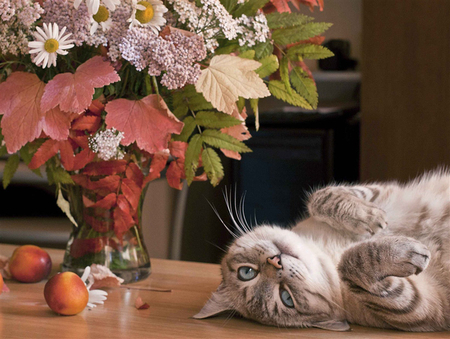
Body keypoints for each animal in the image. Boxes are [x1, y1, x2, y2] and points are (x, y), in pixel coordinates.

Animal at [193, 170, 450, 332]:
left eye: (246, 272)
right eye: (287, 298)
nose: (276, 262)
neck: (327, 249)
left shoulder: (380, 190)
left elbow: (321, 196)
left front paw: (369, 217)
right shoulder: (427, 306)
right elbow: (350, 262)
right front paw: (413, 251)